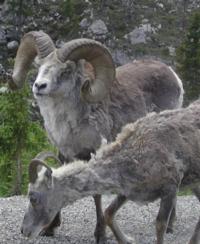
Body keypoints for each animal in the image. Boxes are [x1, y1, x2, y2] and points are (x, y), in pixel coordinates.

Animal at [10, 30, 184, 240]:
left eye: (65, 71)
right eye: (39, 66)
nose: (39, 86)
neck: (71, 123)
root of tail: (174, 76)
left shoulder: (94, 151)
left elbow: (97, 195)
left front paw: (100, 234)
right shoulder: (65, 152)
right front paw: (50, 228)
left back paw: (170, 226)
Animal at [20, 99, 200, 244]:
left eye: (33, 198)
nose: (24, 230)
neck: (136, 153)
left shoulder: (170, 189)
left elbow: (160, 225)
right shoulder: (126, 191)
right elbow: (108, 213)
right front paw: (126, 240)